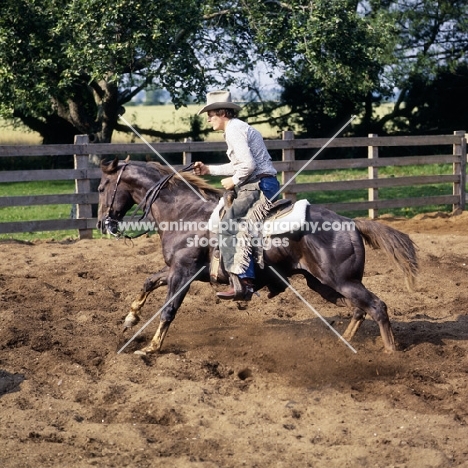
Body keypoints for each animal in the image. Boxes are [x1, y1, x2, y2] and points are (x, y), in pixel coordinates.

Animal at [97, 157, 418, 354]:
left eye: (100, 187)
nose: (103, 224)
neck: (184, 213)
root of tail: (350, 223)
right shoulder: (177, 269)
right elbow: (149, 281)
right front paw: (130, 318)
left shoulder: (183, 272)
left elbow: (168, 309)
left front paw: (150, 348)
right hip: (325, 284)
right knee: (359, 310)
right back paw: (346, 342)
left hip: (343, 281)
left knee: (376, 307)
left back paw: (390, 353)